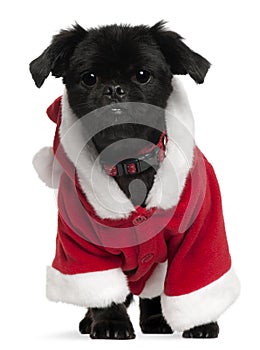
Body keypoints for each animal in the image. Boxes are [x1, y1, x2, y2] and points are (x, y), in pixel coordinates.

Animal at [30, 21, 240, 340]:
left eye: (143, 75)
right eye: (89, 78)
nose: (115, 89)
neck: (128, 161)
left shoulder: (201, 232)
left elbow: (195, 281)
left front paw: (200, 324)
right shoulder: (82, 245)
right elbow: (103, 291)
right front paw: (110, 323)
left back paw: (156, 320)